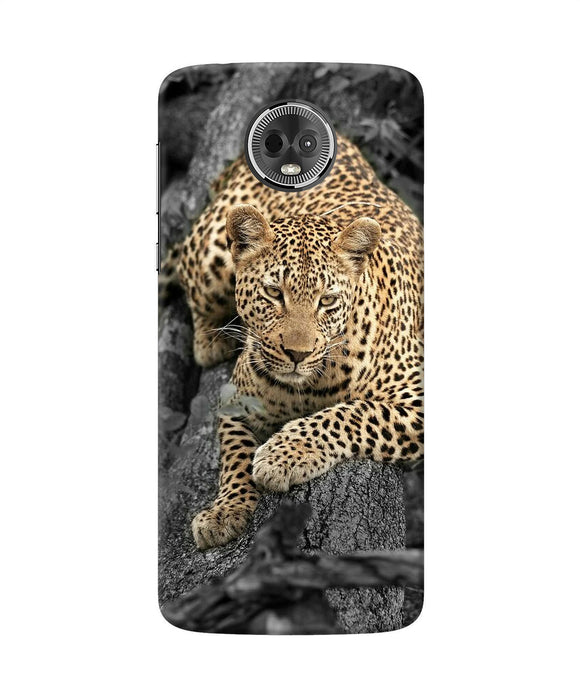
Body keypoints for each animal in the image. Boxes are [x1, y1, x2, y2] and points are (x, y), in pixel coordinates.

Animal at [173, 134, 424, 550]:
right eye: (274, 293)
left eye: (327, 300)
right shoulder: (235, 399)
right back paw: (211, 340)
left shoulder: (417, 397)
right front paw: (225, 511)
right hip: (210, 256)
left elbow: (352, 414)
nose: (296, 354)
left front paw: (282, 455)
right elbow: (234, 454)